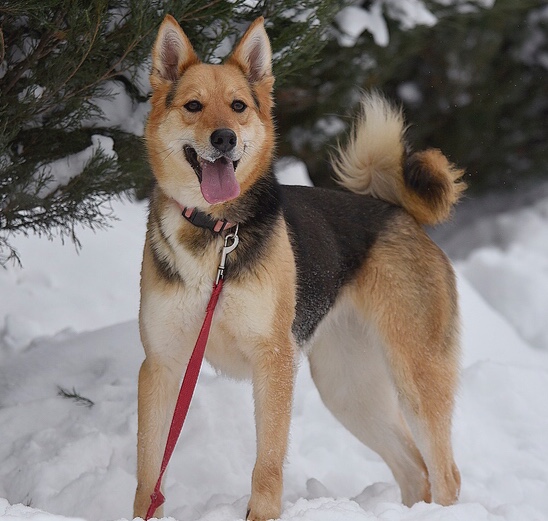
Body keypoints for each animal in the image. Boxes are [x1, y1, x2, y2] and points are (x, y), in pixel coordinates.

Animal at [135, 15, 464, 520]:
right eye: (193, 106)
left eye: (238, 106)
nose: (224, 138)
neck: (215, 230)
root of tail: (395, 209)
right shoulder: (162, 366)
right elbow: (150, 471)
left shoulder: (273, 361)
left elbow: (267, 466)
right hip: (348, 387)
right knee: (415, 469)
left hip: (416, 376)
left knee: (446, 474)